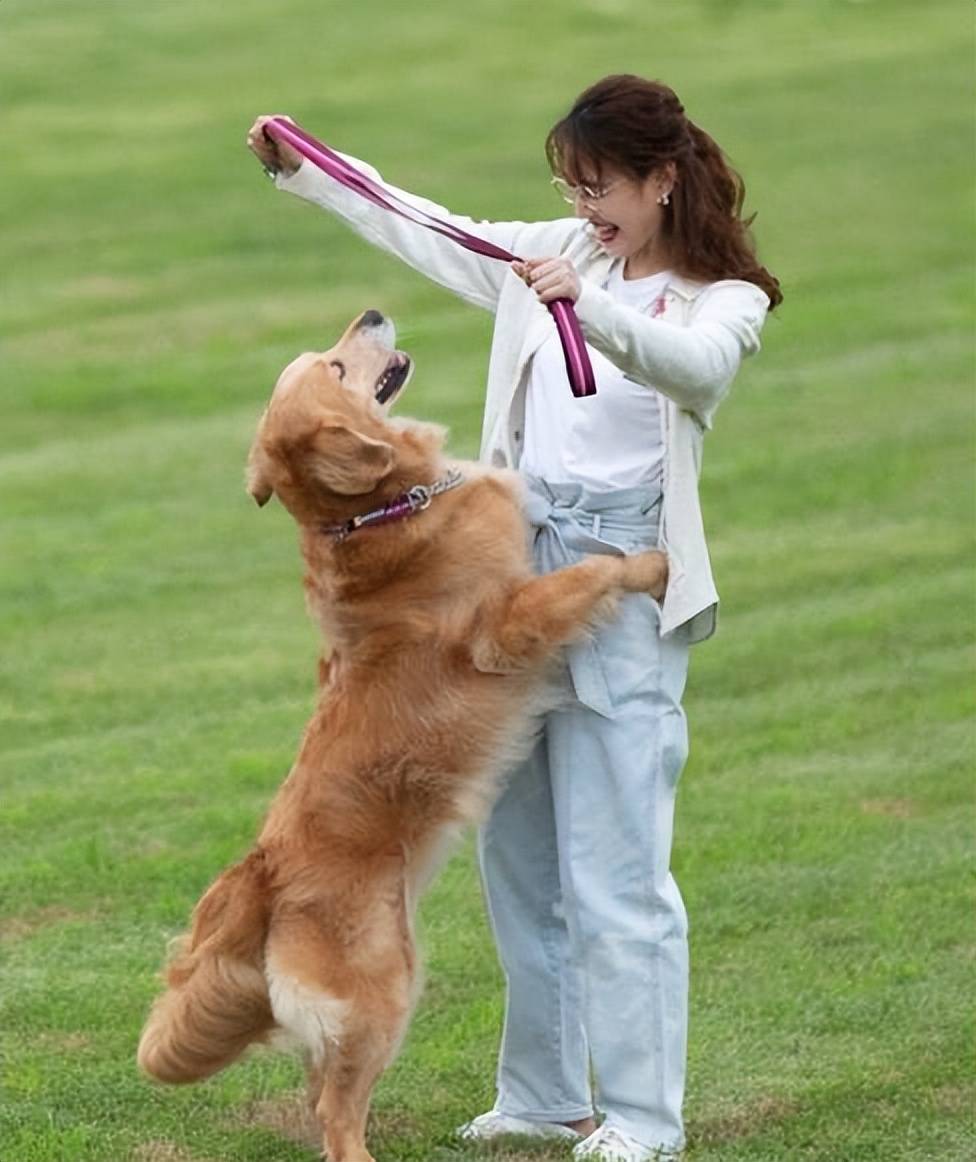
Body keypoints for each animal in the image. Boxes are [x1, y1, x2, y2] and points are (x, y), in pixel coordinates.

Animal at [137, 309, 669, 1162]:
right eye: (335, 365)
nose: (370, 313)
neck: (376, 510)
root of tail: (264, 877)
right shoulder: (509, 622)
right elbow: (589, 574)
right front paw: (652, 566)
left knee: (319, 1091)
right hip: (384, 993)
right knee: (336, 1115)